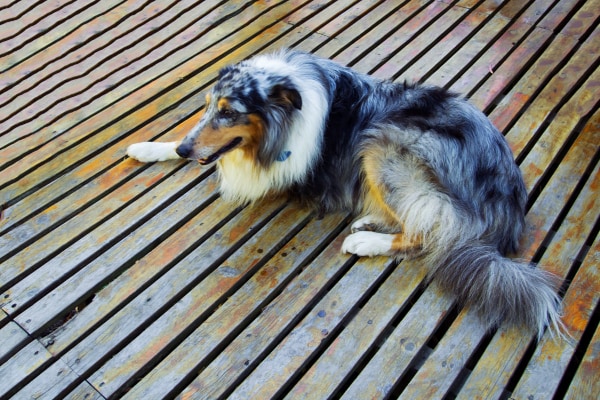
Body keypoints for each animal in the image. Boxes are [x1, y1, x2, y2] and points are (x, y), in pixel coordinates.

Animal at [126, 49, 564, 338]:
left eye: (229, 111)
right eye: (206, 107)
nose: (185, 151)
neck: (287, 110)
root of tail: (509, 205)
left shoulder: (274, 172)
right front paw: (149, 147)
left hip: (382, 144)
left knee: (427, 234)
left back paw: (366, 241)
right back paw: (371, 219)